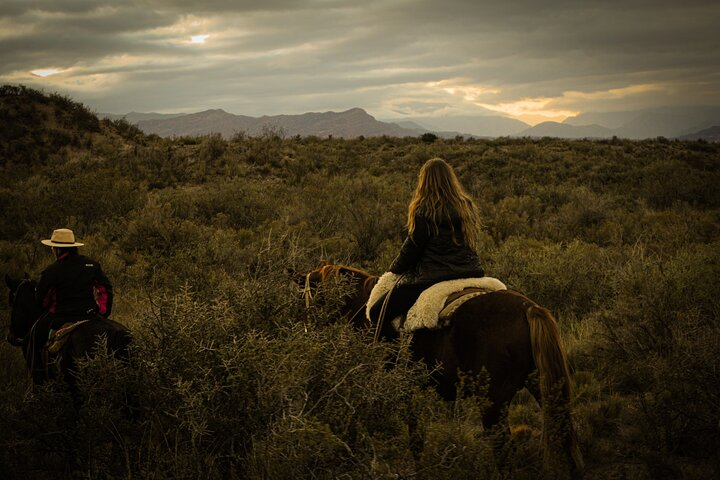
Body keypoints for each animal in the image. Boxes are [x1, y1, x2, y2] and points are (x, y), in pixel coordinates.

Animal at [298, 264, 584, 478]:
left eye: (313, 297)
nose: (308, 330)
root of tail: (528, 308)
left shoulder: (405, 391)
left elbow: (415, 440)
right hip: (541, 387)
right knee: (561, 431)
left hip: (493, 402)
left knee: (503, 451)